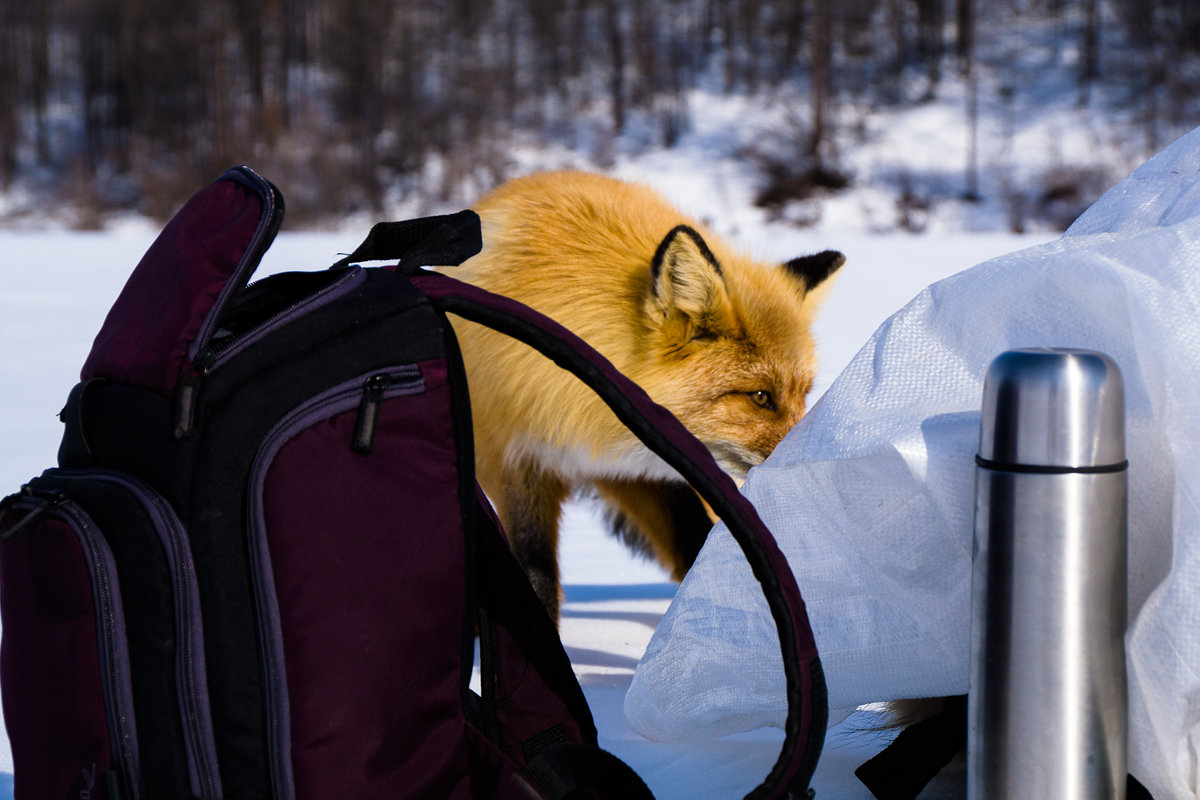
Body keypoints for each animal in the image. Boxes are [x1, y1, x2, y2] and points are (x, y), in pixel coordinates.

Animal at [448, 170, 844, 618]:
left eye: (804, 394)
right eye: (760, 397)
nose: (812, 461)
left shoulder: (654, 473)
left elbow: (695, 553)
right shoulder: (513, 462)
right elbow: (535, 581)